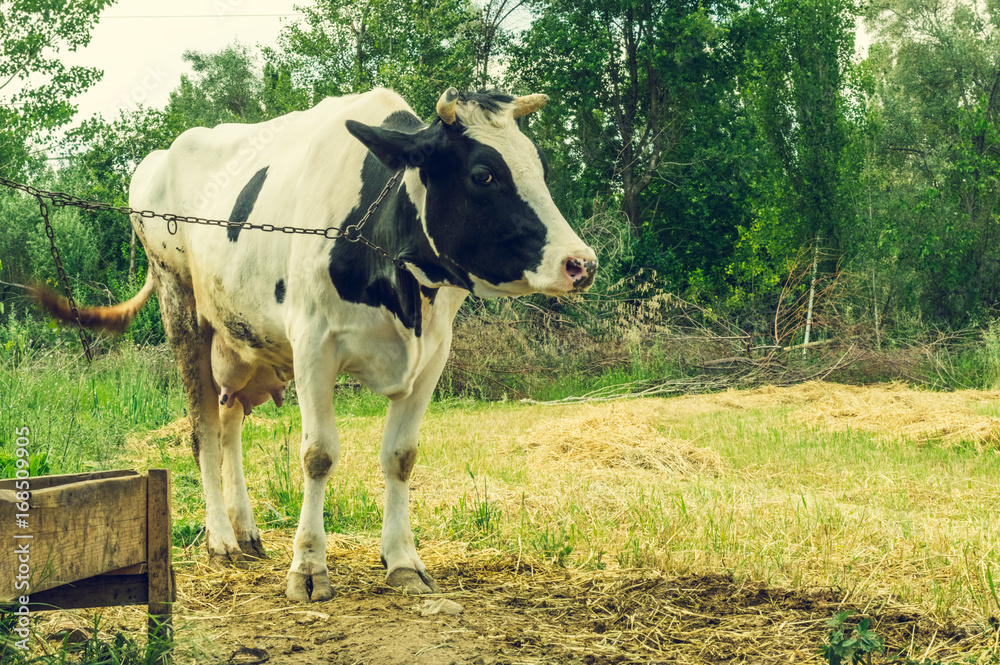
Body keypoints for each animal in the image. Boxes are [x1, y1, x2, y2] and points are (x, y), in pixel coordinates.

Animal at [39, 85, 596, 600]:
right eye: (483, 174)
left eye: (540, 167)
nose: (581, 263)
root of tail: (158, 158)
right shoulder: (313, 345)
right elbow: (318, 454)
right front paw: (308, 566)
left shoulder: (433, 353)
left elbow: (401, 456)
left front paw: (403, 561)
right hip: (180, 306)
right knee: (203, 429)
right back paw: (221, 539)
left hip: (241, 341)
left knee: (229, 421)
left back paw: (246, 531)